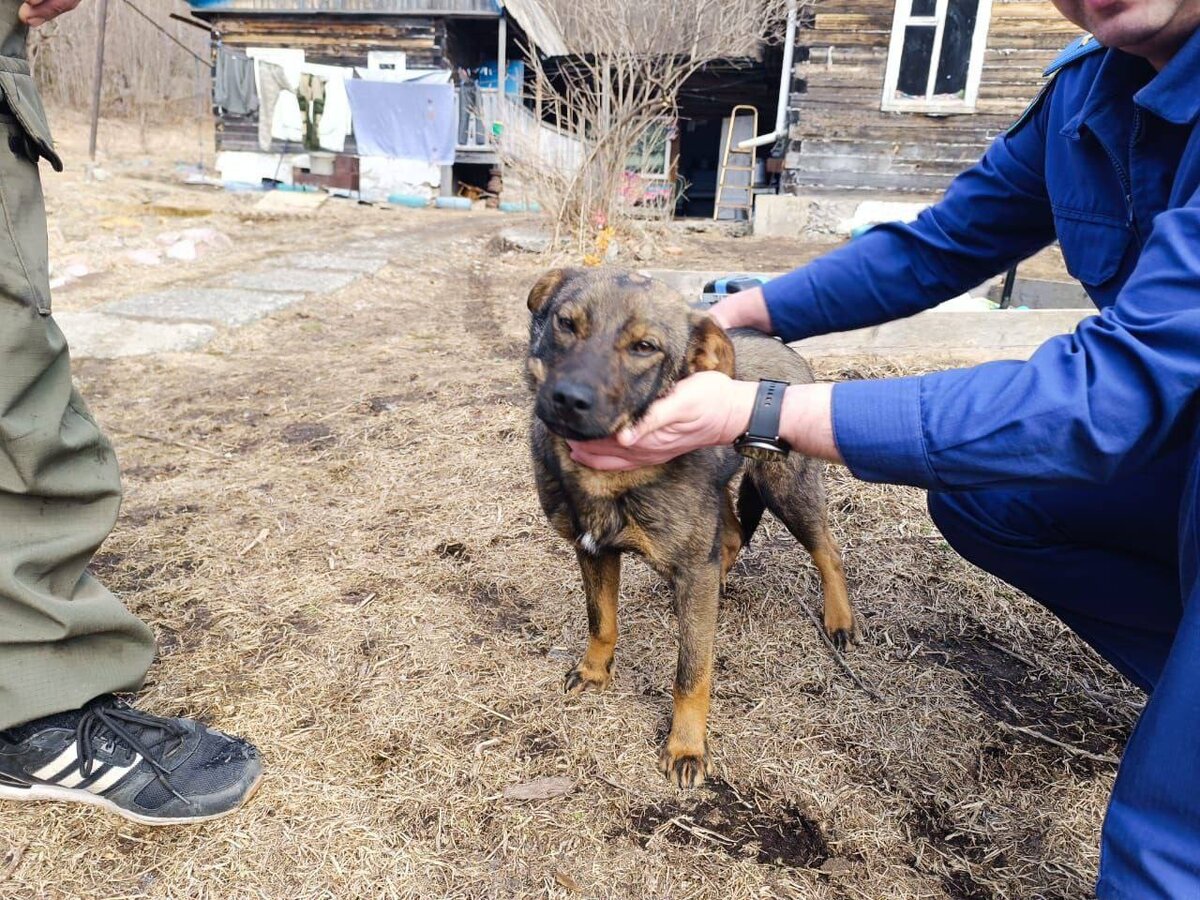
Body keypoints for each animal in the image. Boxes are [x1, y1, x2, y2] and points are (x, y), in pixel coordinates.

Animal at [525, 267, 854, 787]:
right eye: (566, 323)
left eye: (645, 347)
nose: (567, 399)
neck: (609, 476)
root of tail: (782, 347)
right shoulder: (593, 549)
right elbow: (602, 621)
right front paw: (596, 671)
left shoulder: (690, 572)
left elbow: (691, 671)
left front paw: (686, 747)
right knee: (733, 536)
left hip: (786, 490)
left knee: (827, 551)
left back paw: (839, 619)